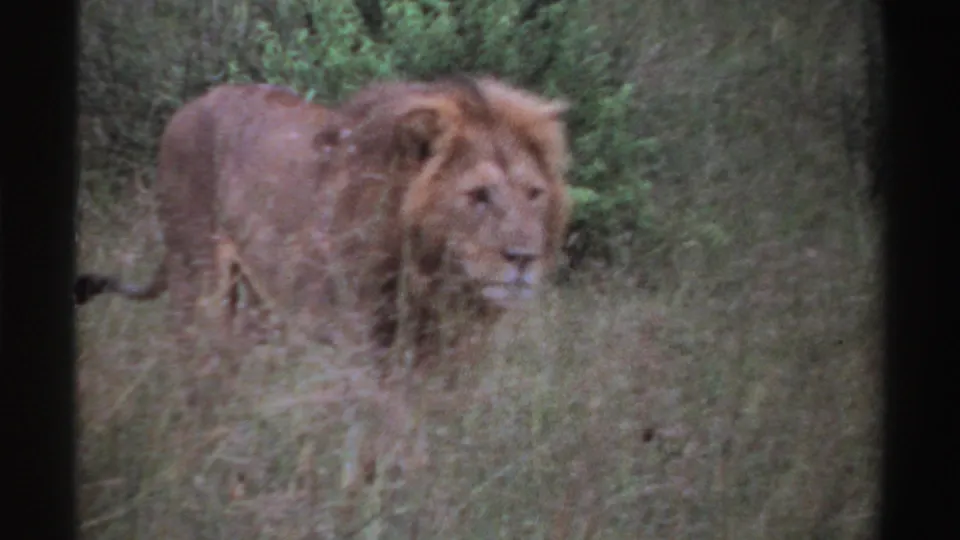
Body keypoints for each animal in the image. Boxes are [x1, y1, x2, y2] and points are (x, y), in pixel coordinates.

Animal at [75, 76, 572, 380]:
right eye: (478, 195)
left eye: (534, 193)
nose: (524, 259)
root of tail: (187, 108)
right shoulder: (364, 342)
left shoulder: (446, 355)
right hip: (196, 281)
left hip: (256, 298)